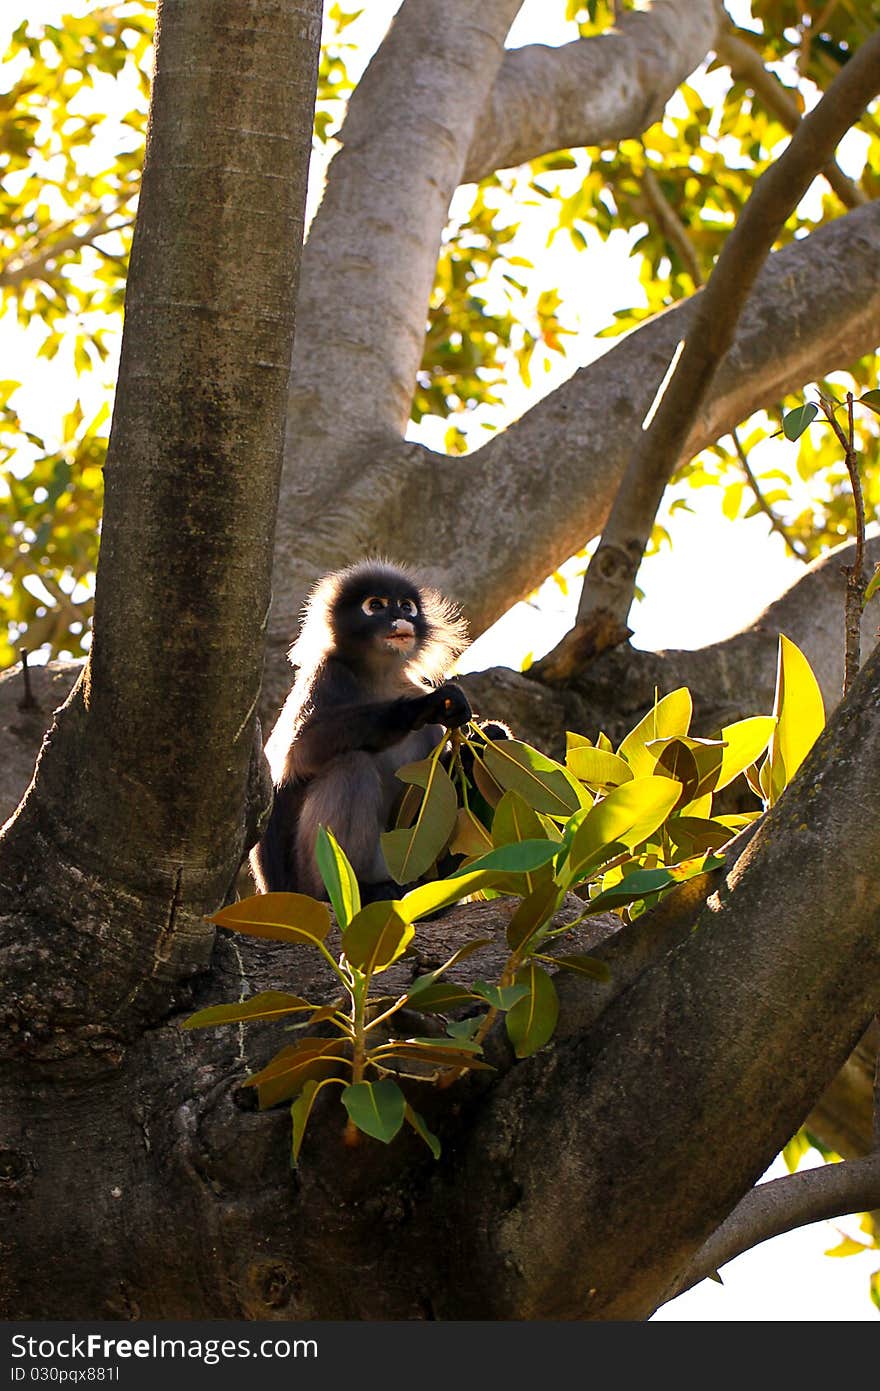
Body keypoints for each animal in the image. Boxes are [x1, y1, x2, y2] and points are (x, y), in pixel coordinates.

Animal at [251, 561, 472, 901]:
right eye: (376, 606)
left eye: (406, 606)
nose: (399, 619)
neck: (378, 678)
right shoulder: (326, 675)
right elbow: (295, 755)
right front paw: (419, 708)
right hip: (304, 877)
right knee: (352, 764)